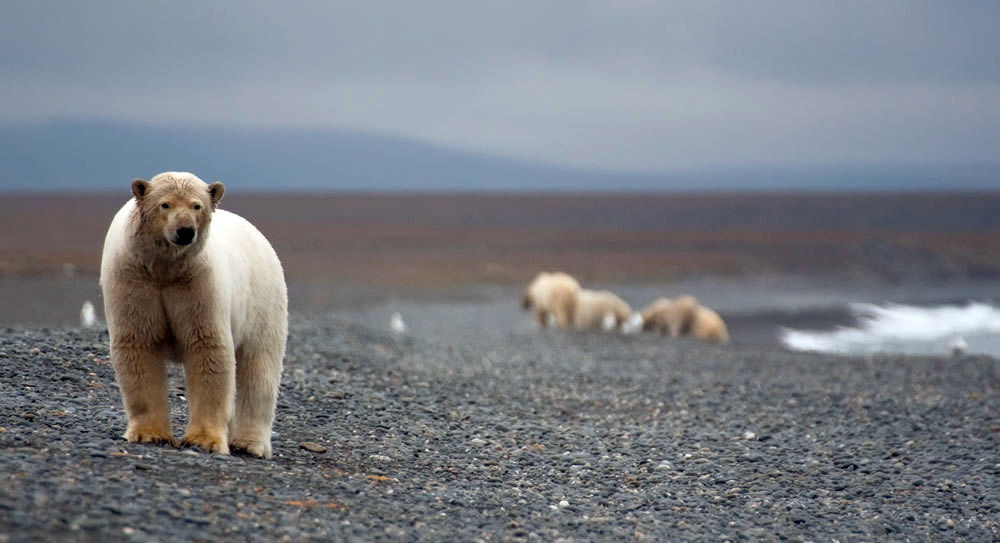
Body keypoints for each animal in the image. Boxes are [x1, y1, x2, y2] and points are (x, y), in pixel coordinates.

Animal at [99, 173, 288, 460]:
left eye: (197, 205)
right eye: (165, 204)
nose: (185, 230)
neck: (165, 269)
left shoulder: (198, 282)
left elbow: (207, 347)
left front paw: (204, 441)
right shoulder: (133, 277)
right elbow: (138, 344)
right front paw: (149, 434)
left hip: (262, 301)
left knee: (259, 369)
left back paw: (249, 444)